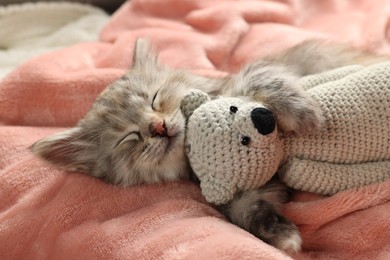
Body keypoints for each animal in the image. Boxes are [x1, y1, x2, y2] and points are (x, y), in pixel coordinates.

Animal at [31, 38, 386, 252]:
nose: (157, 127)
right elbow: (247, 211)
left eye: (155, 99)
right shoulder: (242, 195)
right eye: (129, 137)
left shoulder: (255, 74)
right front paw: (280, 234)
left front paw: (305, 113)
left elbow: (264, 82)